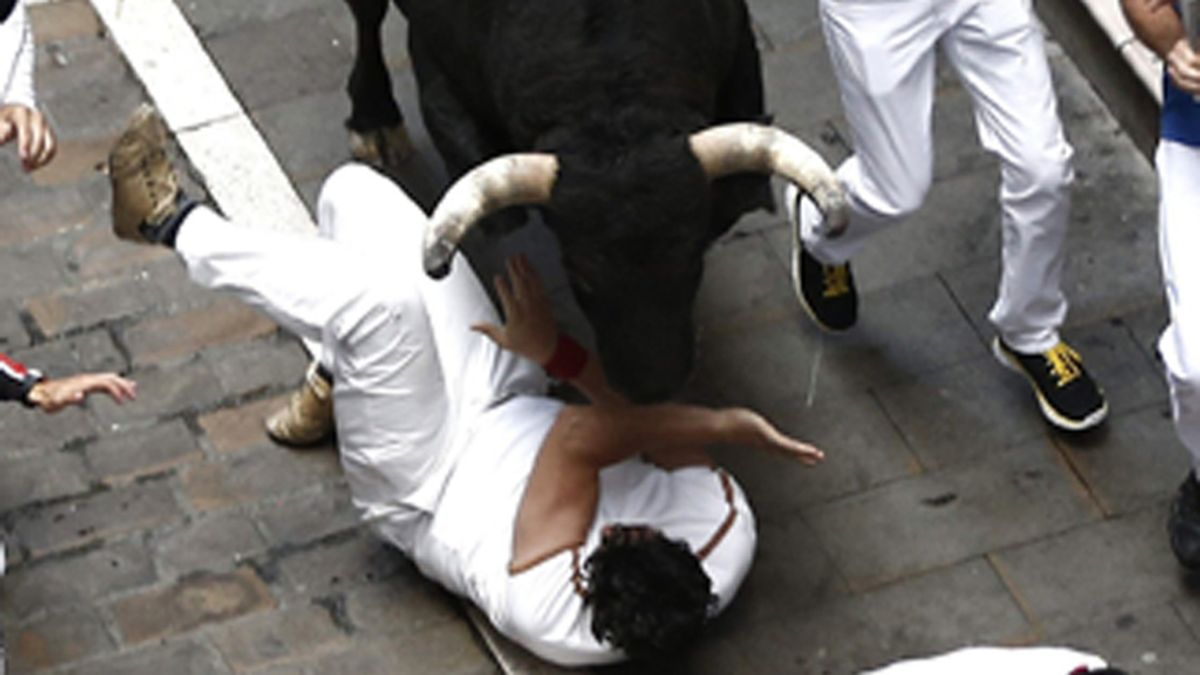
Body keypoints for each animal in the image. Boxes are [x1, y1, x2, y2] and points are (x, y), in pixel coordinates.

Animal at [345, 0, 825, 398]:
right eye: (579, 275)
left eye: (694, 262)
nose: (655, 385)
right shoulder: (436, 68)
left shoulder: (740, 46)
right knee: (366, 16)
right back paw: (373, 120)